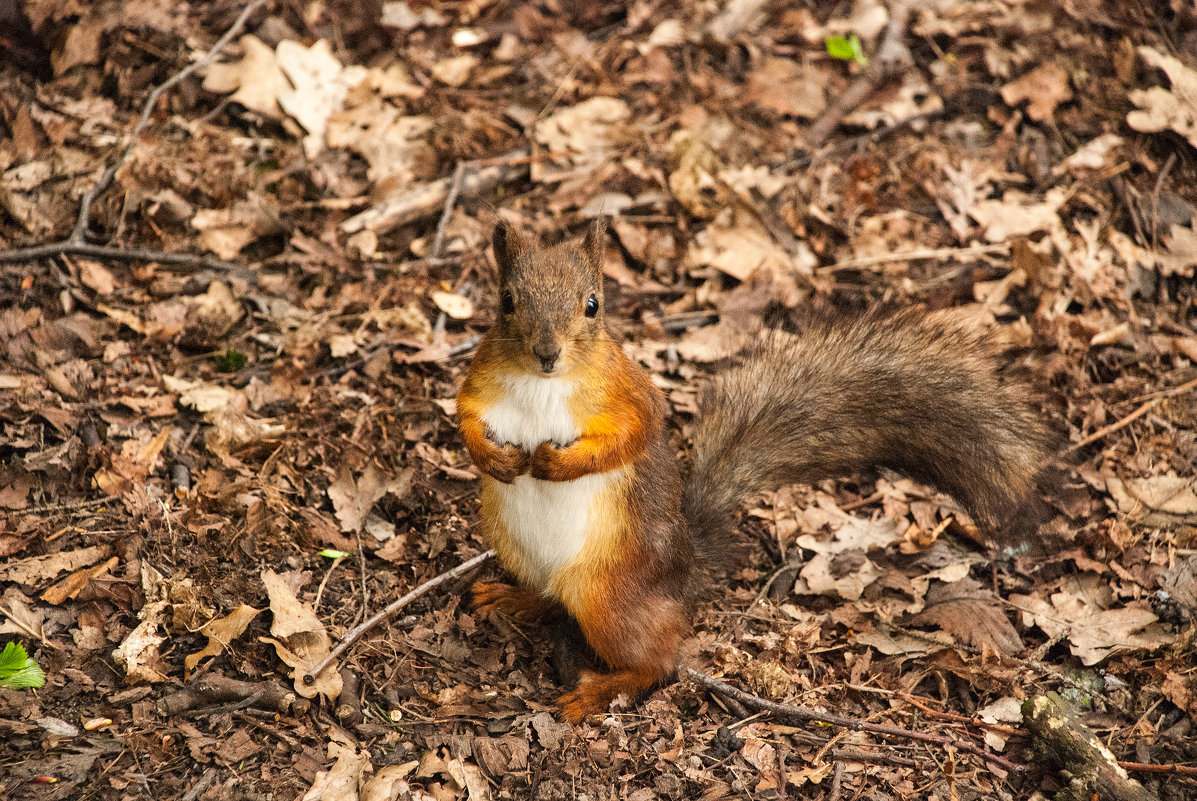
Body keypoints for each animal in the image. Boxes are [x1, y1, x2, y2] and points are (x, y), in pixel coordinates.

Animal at [452, 215, 1053, 723]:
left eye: (593, 304)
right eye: (507, 301)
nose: (547, 352)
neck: (543, 383)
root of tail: (685, 574)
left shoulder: (631, 393)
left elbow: (631, 436)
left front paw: (556, 462)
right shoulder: (479, 383)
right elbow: (465, 419)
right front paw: (494, 457)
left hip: (606, 595)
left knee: (659, 662)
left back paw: (598, 689)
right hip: (511, 544)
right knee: (547, 596)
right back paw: (510, 596)